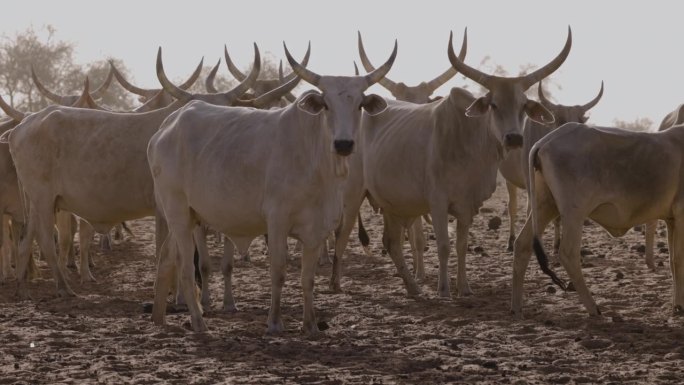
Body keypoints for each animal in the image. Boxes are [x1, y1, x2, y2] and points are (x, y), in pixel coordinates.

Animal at [4, 45, 262, 296]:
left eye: (230, 111)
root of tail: (22, 125)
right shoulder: (164, 209)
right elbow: (172, 255)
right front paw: (175, 295)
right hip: (43, 199)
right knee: (47, 239)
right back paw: (63, 287)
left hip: (38, 201)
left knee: (27, 238)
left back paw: (22, 287)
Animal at [147, 39, 398, 332]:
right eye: (326, 104)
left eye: (359, 104)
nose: (344, 144)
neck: (316, 162)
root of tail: (167, 126)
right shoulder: (277, 221)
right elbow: (278, 271)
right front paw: (275, 322)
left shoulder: (317, 229)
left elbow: (308, 278)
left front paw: (310, 325)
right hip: (176, 212)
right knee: (186, 267)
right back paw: (199, 323)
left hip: (189, 216)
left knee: (167, 258)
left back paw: (159, 317)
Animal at [350, 28, 568, 298]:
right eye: (493, 104)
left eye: (523, 106)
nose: (514, 138)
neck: (470, 146)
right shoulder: (437, 202)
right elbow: (443, 245)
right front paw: (444, 289)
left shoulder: (468, 205)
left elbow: (461, 246)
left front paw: (464, 287)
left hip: (394, 204)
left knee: (391, 243)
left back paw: (412, 287)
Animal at [496, 79, 604, 250]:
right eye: (559, 119)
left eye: (580, 120)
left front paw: (557, 243)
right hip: (510, 181)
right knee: (512, 207)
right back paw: (511, 241)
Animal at [510, 123, 684, 318]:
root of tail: (545, 141)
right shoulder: (681, 216)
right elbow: (679, 260)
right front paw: (679, 306)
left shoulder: (672, 220)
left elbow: (673, 262)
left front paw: (676, 305)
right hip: (574, 214)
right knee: (568, 254)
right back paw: (593, 308)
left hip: (545, 206)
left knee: (522, 245)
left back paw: (516, 308)